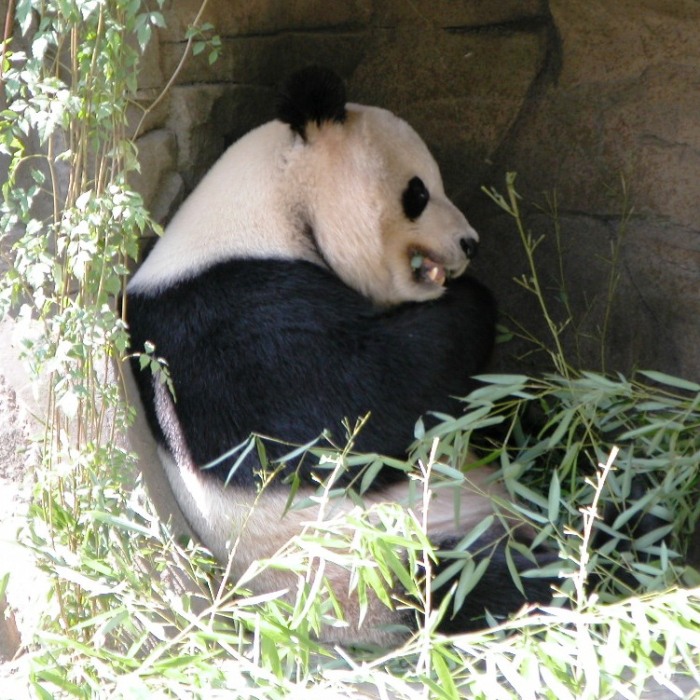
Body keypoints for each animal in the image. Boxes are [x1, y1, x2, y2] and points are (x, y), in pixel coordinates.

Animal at [123, 67, 556, 644]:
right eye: (418, 192)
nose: (470, 243)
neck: (266, 211)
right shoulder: (228, 323)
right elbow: (359, 410)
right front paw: (473, 302)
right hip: (379, 563)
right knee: (483, 580)